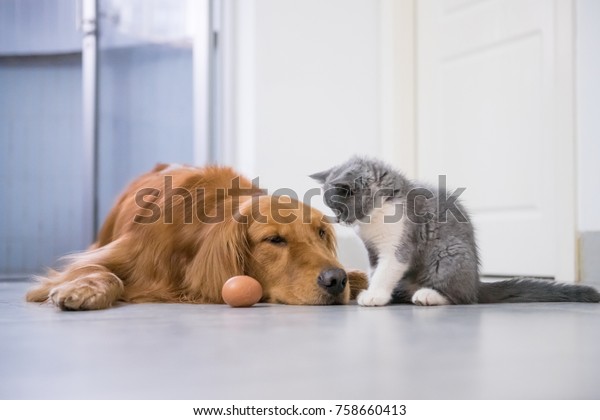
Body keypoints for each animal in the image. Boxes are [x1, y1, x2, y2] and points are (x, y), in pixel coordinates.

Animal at [25, 162, 368, 310]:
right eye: (274, 240)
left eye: (321, 233)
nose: (336, 279)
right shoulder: (112, 255)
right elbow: (102, 272)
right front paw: (84, 289)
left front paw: (358, 278)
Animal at [312, 156, 596, 306]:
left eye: (340, 207)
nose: (340, 221)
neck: (378, 211)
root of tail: (477, 283)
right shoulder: (372, 250)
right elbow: (374, 270)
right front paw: (373, 290)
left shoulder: (400, 243)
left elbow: (387, 270)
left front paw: (375, 295)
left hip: (449, 254)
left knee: (461, 297)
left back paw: (428, 295)